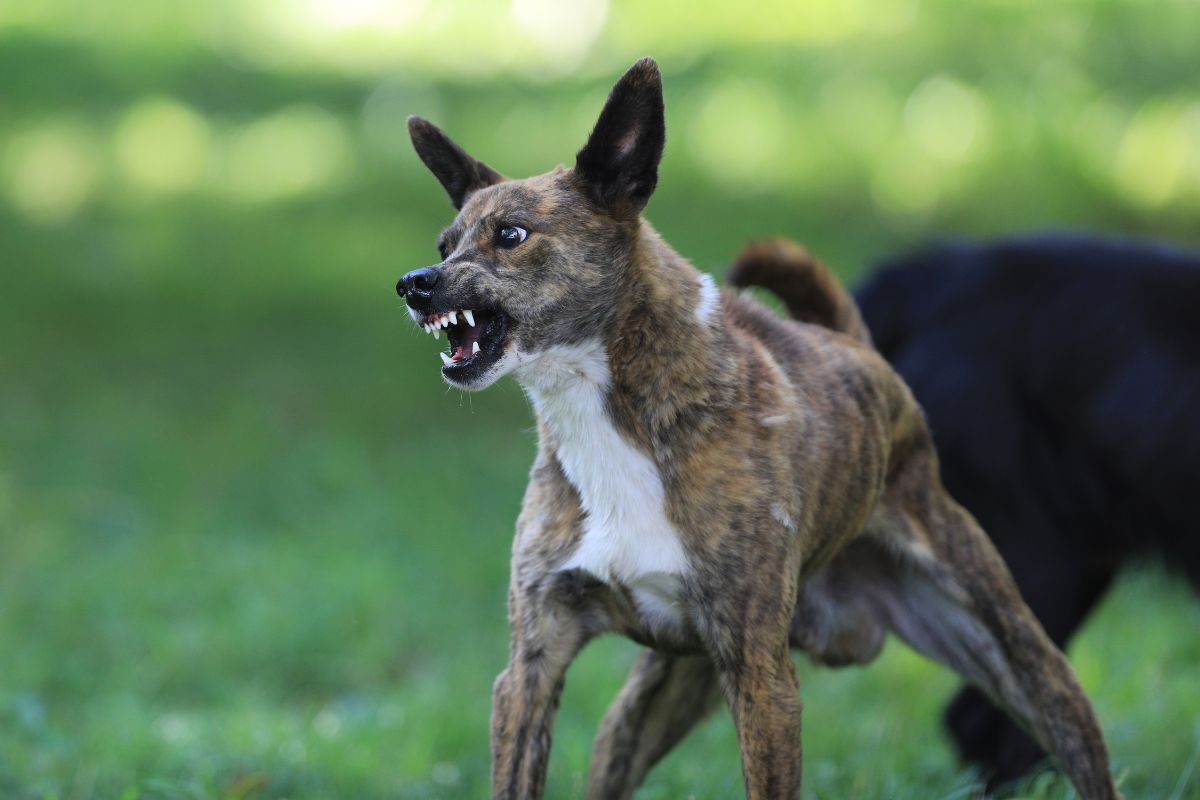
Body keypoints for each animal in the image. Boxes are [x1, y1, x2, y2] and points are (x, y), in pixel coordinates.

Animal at [398, 57, 1118, 800]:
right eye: (445, 245)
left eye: (511, 235)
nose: (413, 284)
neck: (614, 415)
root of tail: (856, 347)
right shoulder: (530, 671)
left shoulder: (761, 679)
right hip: (648, 704)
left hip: (1020, 657)